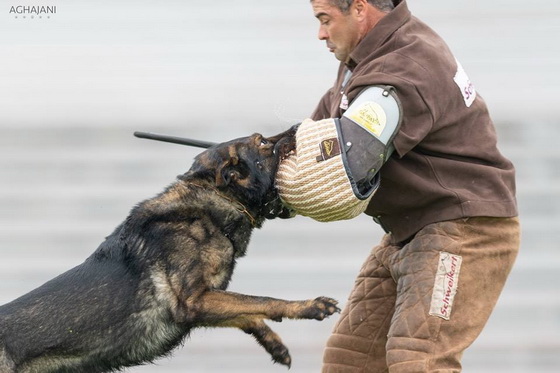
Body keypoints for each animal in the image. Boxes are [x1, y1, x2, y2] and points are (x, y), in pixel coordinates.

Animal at [0, 129, 340, 372]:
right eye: (263, 143)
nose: (299, 126)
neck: (212, 203)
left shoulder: (201, 304)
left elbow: (247, 313)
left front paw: (274, 344)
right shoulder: (193, 301)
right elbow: (262, 300)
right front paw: (310, 306)